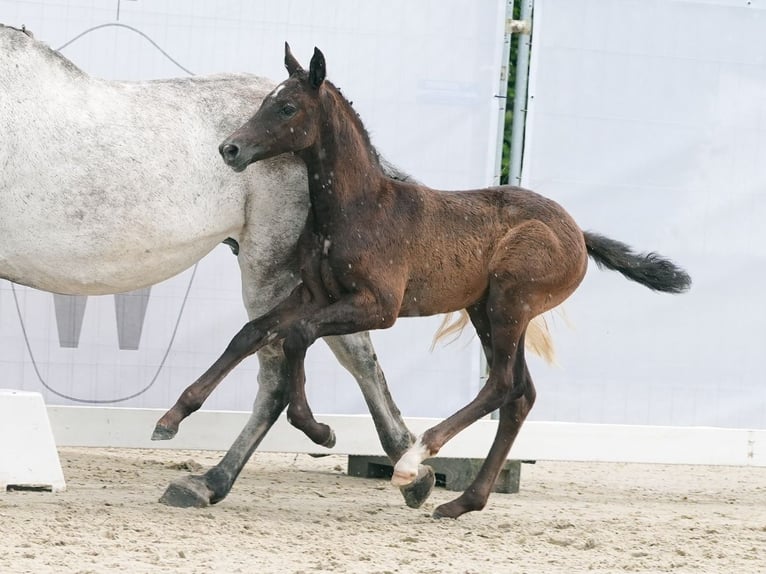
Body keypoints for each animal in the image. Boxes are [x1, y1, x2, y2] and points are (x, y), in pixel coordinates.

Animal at [160, 45, 688, 520]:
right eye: (263, 102)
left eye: (287, 107)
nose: (230, 149)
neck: (358, 208)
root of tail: (579, 233)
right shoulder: (314, 294)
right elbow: (253, 332)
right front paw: (173, 417)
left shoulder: (380, 306)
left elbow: (298, 336)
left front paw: (316, 428)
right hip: (485, 310)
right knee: (521, 393)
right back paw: (462, 502)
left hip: (510, 302)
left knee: (502, 384)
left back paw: (415, 461)